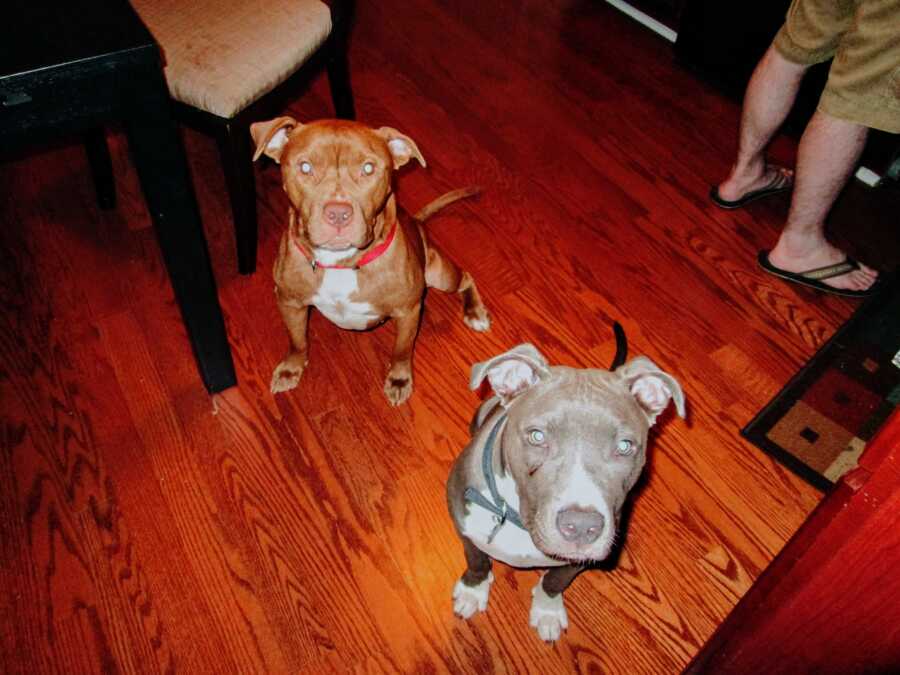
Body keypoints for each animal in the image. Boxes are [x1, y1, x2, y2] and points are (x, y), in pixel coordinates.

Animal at [250, 118, 492, 404]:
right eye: (305, 166)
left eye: (368, 168)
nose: (338, 214)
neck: (339, 263)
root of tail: (416, 221)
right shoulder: (289, 302)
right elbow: (297, 340)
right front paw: (291, 368)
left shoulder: (408, 311)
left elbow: (401, 350)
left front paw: (399, 379)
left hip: (439, 274)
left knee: (465, 277)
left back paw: (475, 312)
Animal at [446, 340, 684, 640]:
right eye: (537, 436)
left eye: (625, 446)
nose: (581, 526)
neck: (520, 521)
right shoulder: (464, 527)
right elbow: (476, 560)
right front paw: (473, 591)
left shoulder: (578, 561)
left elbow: (554, 581)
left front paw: (547, 611)